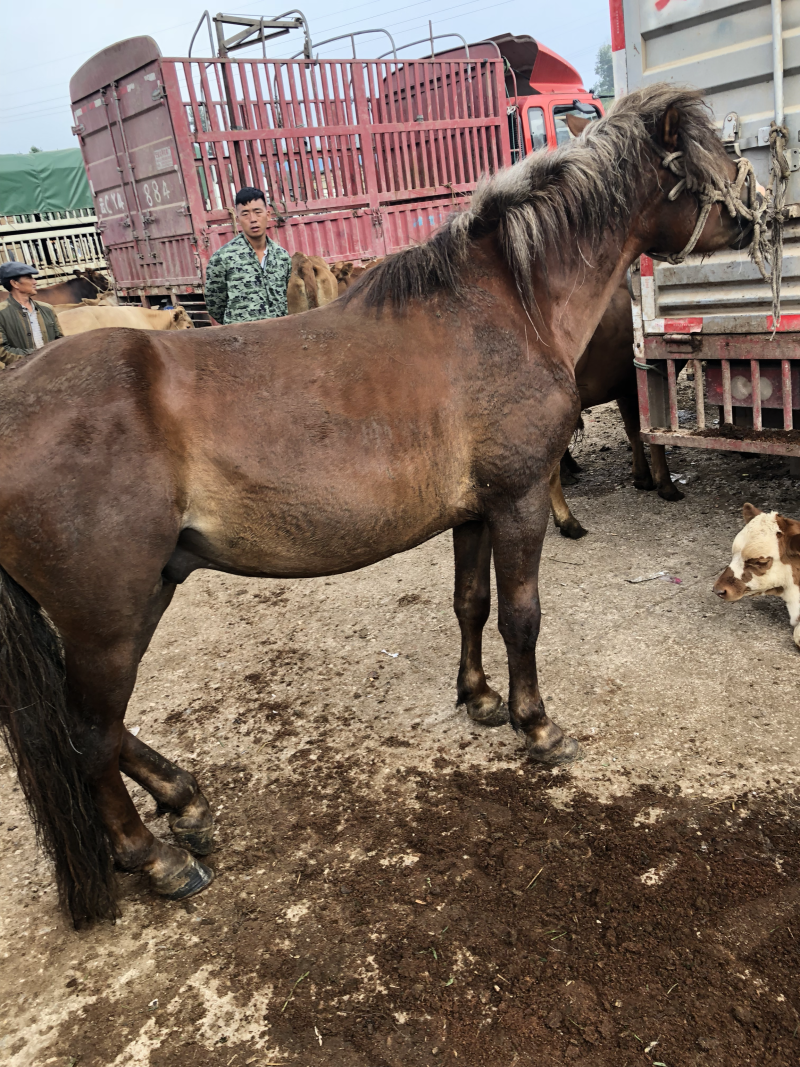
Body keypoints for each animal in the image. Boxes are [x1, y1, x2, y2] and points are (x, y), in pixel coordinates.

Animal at [0, 85, 750, 925]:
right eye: (709, 156)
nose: (757, 214)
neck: (503, 307)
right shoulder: (521, 500)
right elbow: (521, 616)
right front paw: (537, 725)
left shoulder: (473, 513)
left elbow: (469, 603)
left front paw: (479, 697)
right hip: (106, 615)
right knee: (87, 735)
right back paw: (155, 856)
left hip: (150, 588)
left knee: (103, 726)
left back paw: (185, 799)